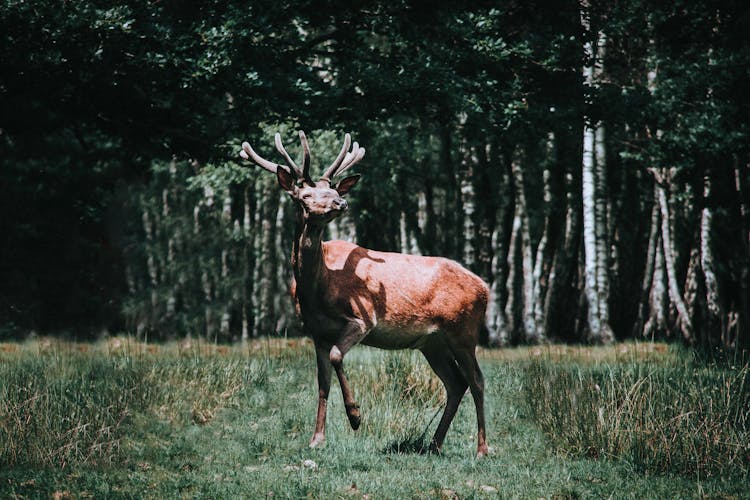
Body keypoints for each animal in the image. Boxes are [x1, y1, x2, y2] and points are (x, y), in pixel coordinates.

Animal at [241, 130, 494, 458]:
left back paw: (482, 448)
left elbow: (337, 356)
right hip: (433, 342)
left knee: (477, 380)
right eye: (305, 195)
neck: (317, 290)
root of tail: (485, 287)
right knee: (455, 382)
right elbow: (322, 382)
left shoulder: (363, 320)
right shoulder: (316, 332)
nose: (341, 201)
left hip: (464, 331)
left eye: (331, 188)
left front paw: (355, 416)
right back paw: (434, 444)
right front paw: (316, 439)